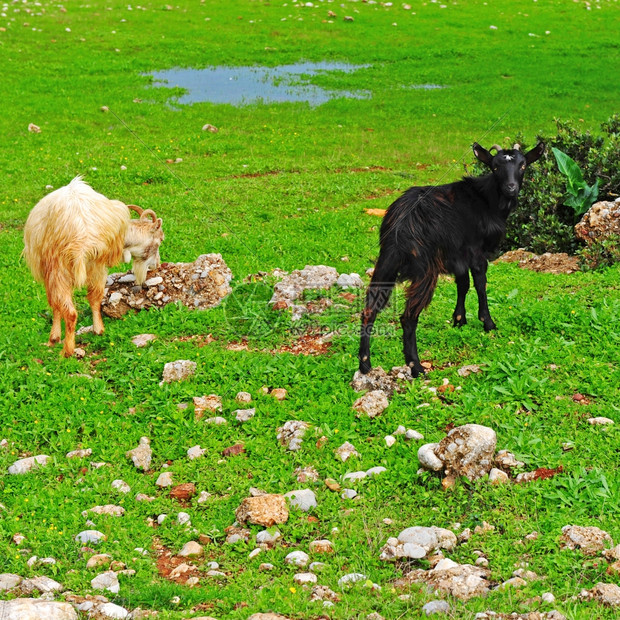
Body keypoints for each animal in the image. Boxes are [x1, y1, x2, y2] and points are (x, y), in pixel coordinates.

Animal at [23, 177, 163, 356]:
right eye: (160, 240)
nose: (156, 265)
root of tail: (81, 233)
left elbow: (54, 305)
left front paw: (53, 339)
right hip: (95, 263)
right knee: (95, 297)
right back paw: (98, 330)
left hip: (58, 265)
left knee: (68, 309)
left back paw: (67, 351)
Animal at [358, 143, 544, 376]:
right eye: (495, 167)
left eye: (523, 165)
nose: (511, 187)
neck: (488, 200)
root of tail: (400, 222)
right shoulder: (475, 250)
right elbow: (480, 283)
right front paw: (488, 323)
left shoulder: (457, 255)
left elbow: (462, 284)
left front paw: (459, 320)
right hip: (425, 268)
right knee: (408, 317)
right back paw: (416, 366)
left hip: (387, 261)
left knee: (369, 309)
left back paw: (365, 364)